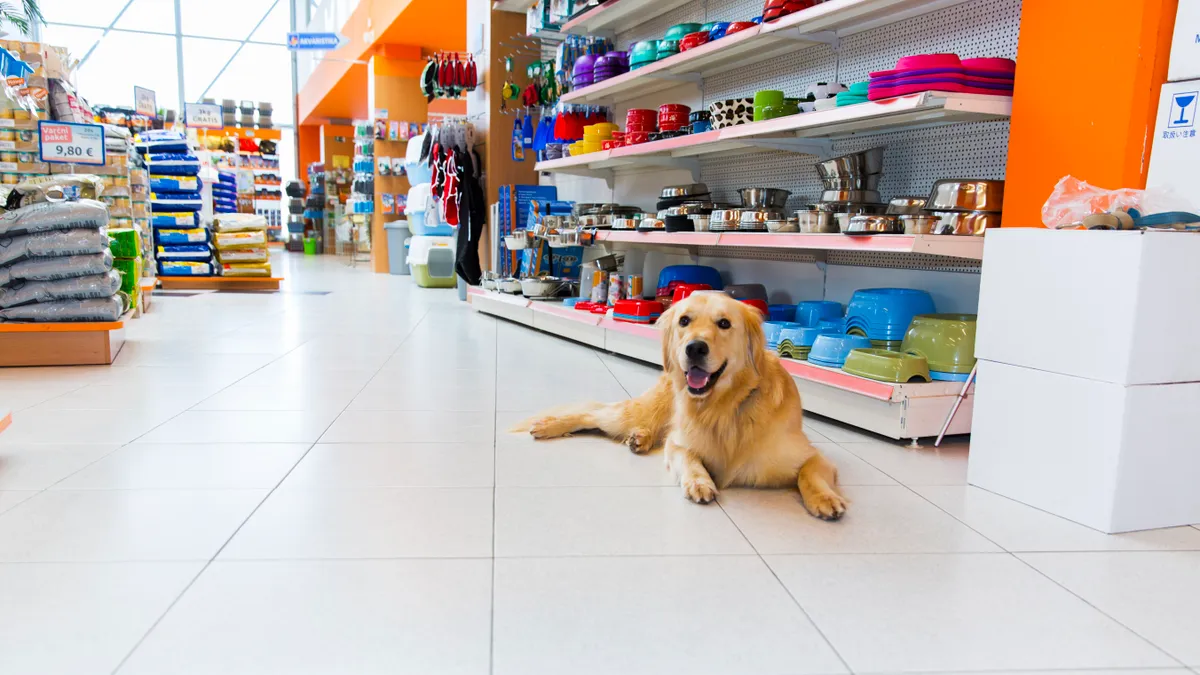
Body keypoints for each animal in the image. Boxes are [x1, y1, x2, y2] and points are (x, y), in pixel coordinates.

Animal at [523, 291, 844, 516]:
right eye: (684, 321)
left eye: (724, 323)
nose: (694, 348)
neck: (723, 406)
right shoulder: (678, 443)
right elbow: (689, 457)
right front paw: (699, 482)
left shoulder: (811, 455)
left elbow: (810, 473)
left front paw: (825, 497)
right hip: (636, 412)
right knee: (593, 413)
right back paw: (550, 426)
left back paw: (639, 438)